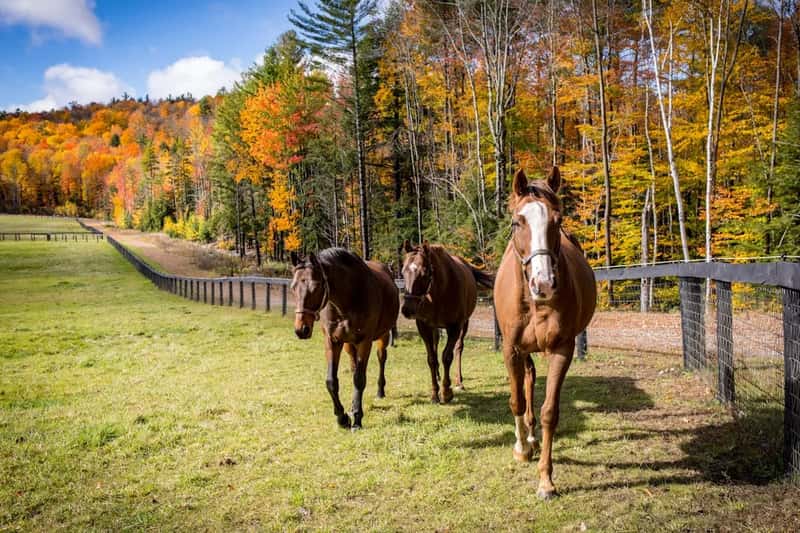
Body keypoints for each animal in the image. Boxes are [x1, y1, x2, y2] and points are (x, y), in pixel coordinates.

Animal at [290, 248, 400, 430]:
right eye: (293, 287)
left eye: (316, 286)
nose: (301, 329)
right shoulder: (332, 341)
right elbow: (331, 381)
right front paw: (342, 417)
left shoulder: (365, 342)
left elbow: (359, 379)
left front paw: (356, 418)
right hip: (349, 344)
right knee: (354, 364)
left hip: (382, 337)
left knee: (381, 358)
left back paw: (380, 391)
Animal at [400, 241, 494, 404]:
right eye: (403, 271)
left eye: (424, 273)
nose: (407, 309)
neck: (439, 292)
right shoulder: (423, 326)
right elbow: (431, 358)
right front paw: (434, 393)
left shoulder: (455, 327)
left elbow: (447, 356)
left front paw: (446, 391)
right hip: (435, 327)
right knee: (436, 345)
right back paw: (438, 375)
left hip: (464, 324)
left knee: (458, 348)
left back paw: (459, 381)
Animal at [493, 167, 596, 499]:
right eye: (518, 221)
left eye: (558, 220)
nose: (544, 284)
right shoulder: (511, 349)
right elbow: (516, 400)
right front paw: (521, 449)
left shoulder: (562, 349)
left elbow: (550, 411)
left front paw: (546, 481)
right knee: (525, 383)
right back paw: (526, 439)